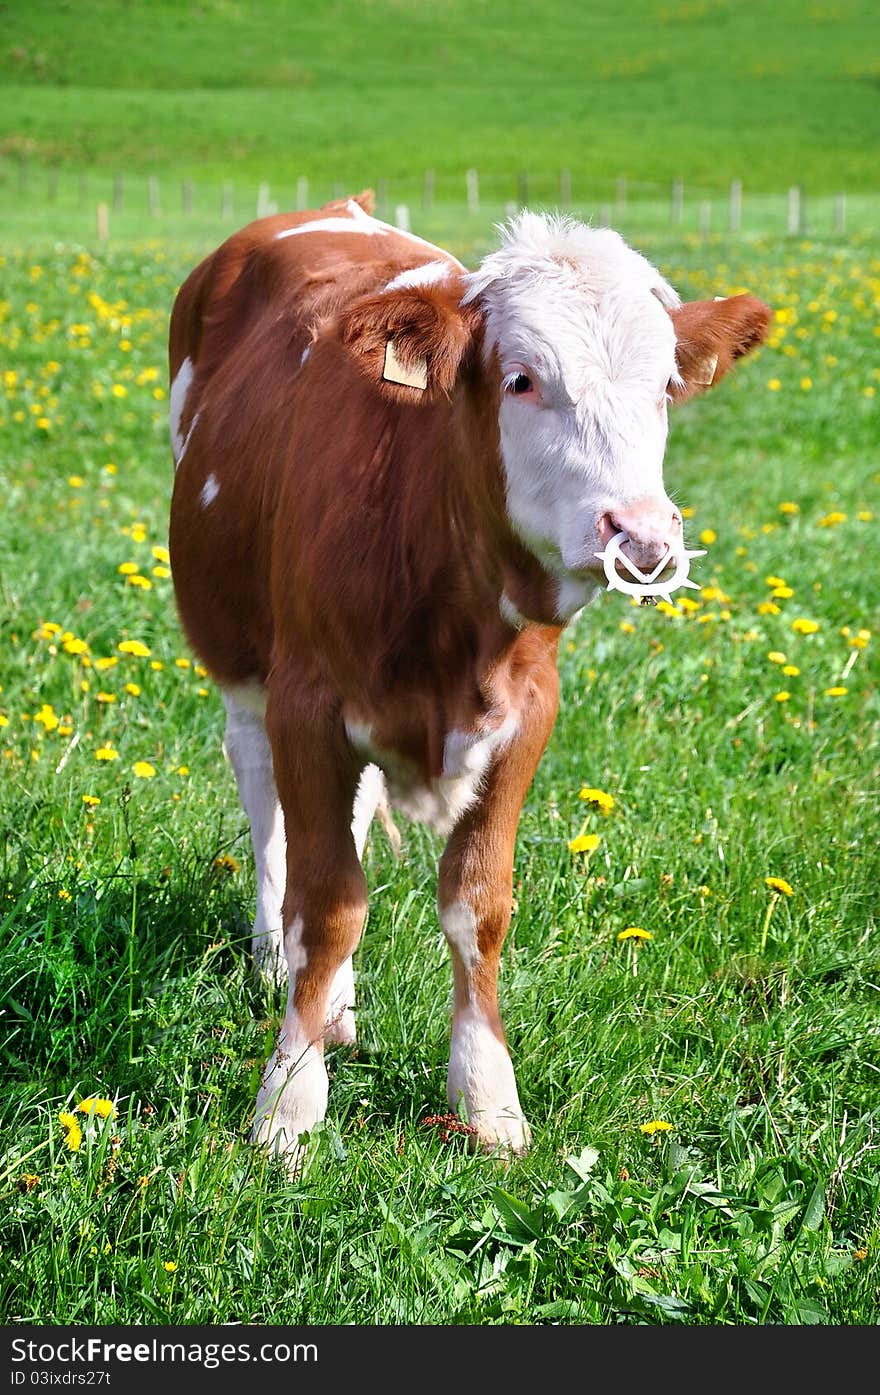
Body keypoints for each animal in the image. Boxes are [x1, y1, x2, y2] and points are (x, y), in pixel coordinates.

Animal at [166, 191, 769, 1160]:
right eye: (522, 379)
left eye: (665, 387)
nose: (642, 535)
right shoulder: (308, 703)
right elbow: (324, 904)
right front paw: (288, 1104)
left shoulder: (528, 715)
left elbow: (477, 904)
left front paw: (488, 1099)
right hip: (237, 651)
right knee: (261, 793)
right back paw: (272, 961)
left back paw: (336, 1003)